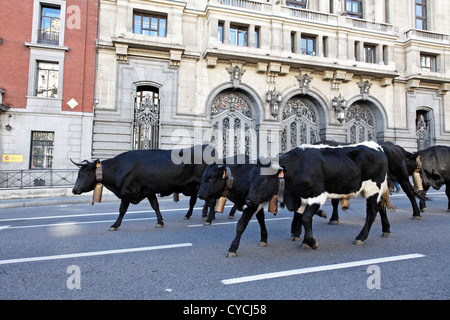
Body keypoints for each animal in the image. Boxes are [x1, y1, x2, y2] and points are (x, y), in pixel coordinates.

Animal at [72, 144, 216, 230]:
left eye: (81, 174)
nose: (74, 190)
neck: (117, 167)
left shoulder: (126, 193)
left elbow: (122, 210)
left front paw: (115, 225)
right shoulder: (149, 191)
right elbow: (155, 206)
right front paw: (160, 221)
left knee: (211, 201)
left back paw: (209, 218)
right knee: (201, 201)